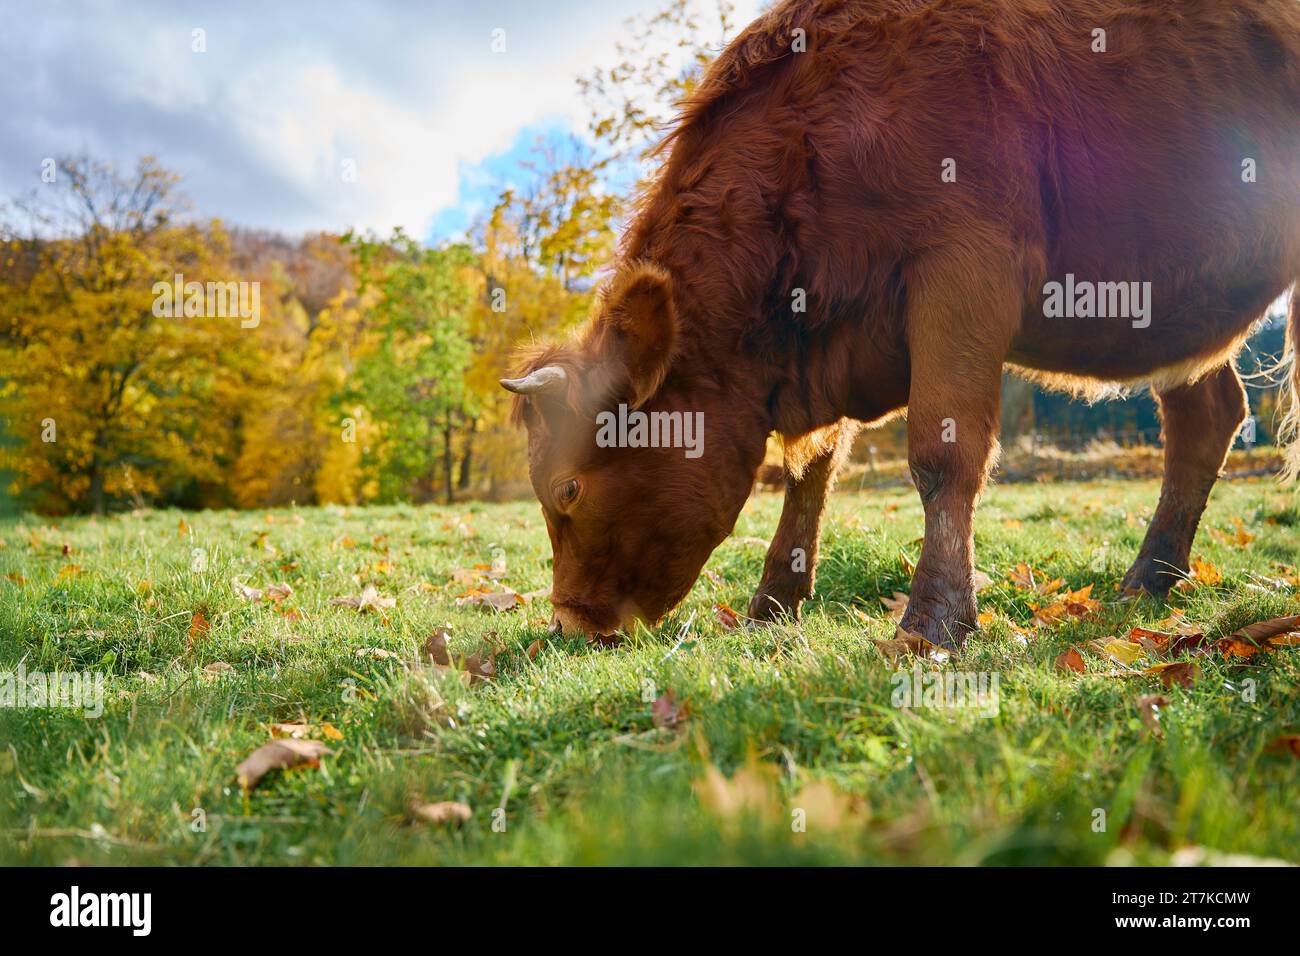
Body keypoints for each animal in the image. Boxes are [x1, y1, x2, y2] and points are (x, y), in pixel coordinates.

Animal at [499, 0, 1300, 650]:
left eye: (568, 490)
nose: (569, 623)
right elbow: (812, 469)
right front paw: (773, 603)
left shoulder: (962, 272)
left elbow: (943, 452)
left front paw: (934, 619)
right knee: (1207, 413)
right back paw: (1149, 579)